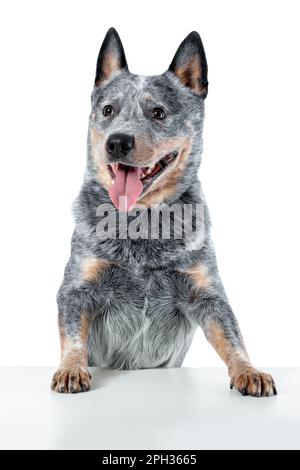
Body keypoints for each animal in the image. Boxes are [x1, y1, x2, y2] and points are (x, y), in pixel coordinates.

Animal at [51, 27, 276, 396]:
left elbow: (232, 337)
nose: (117, 141)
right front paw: (71, 369)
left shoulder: (207, 293)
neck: (142, 222)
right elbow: (73, 338)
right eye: (108, 110)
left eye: (157, 112)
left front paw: (249, 371)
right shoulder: (78, 288)